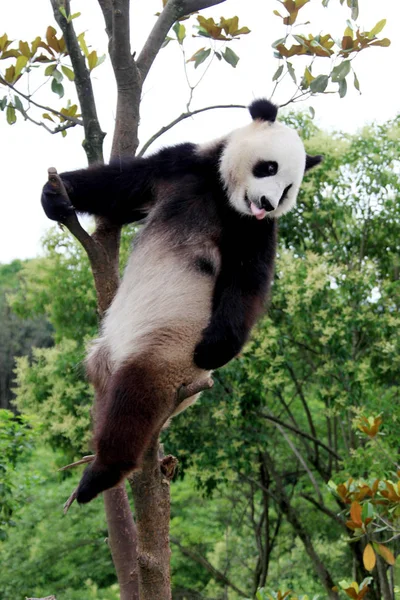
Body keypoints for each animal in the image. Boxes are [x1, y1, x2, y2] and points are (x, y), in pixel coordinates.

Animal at [40, 98, 322, 502]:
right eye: (269, 167)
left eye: (288, 190)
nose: (267, 203)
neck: (223, 192)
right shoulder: (180, 166)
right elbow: (117, 186)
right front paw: (56, 194)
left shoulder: (252, 229)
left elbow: (247, 282)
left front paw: (215, 348)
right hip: (106, 356)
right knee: (106, 395)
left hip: (168, 354)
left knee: (134, 403)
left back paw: (101, 473)